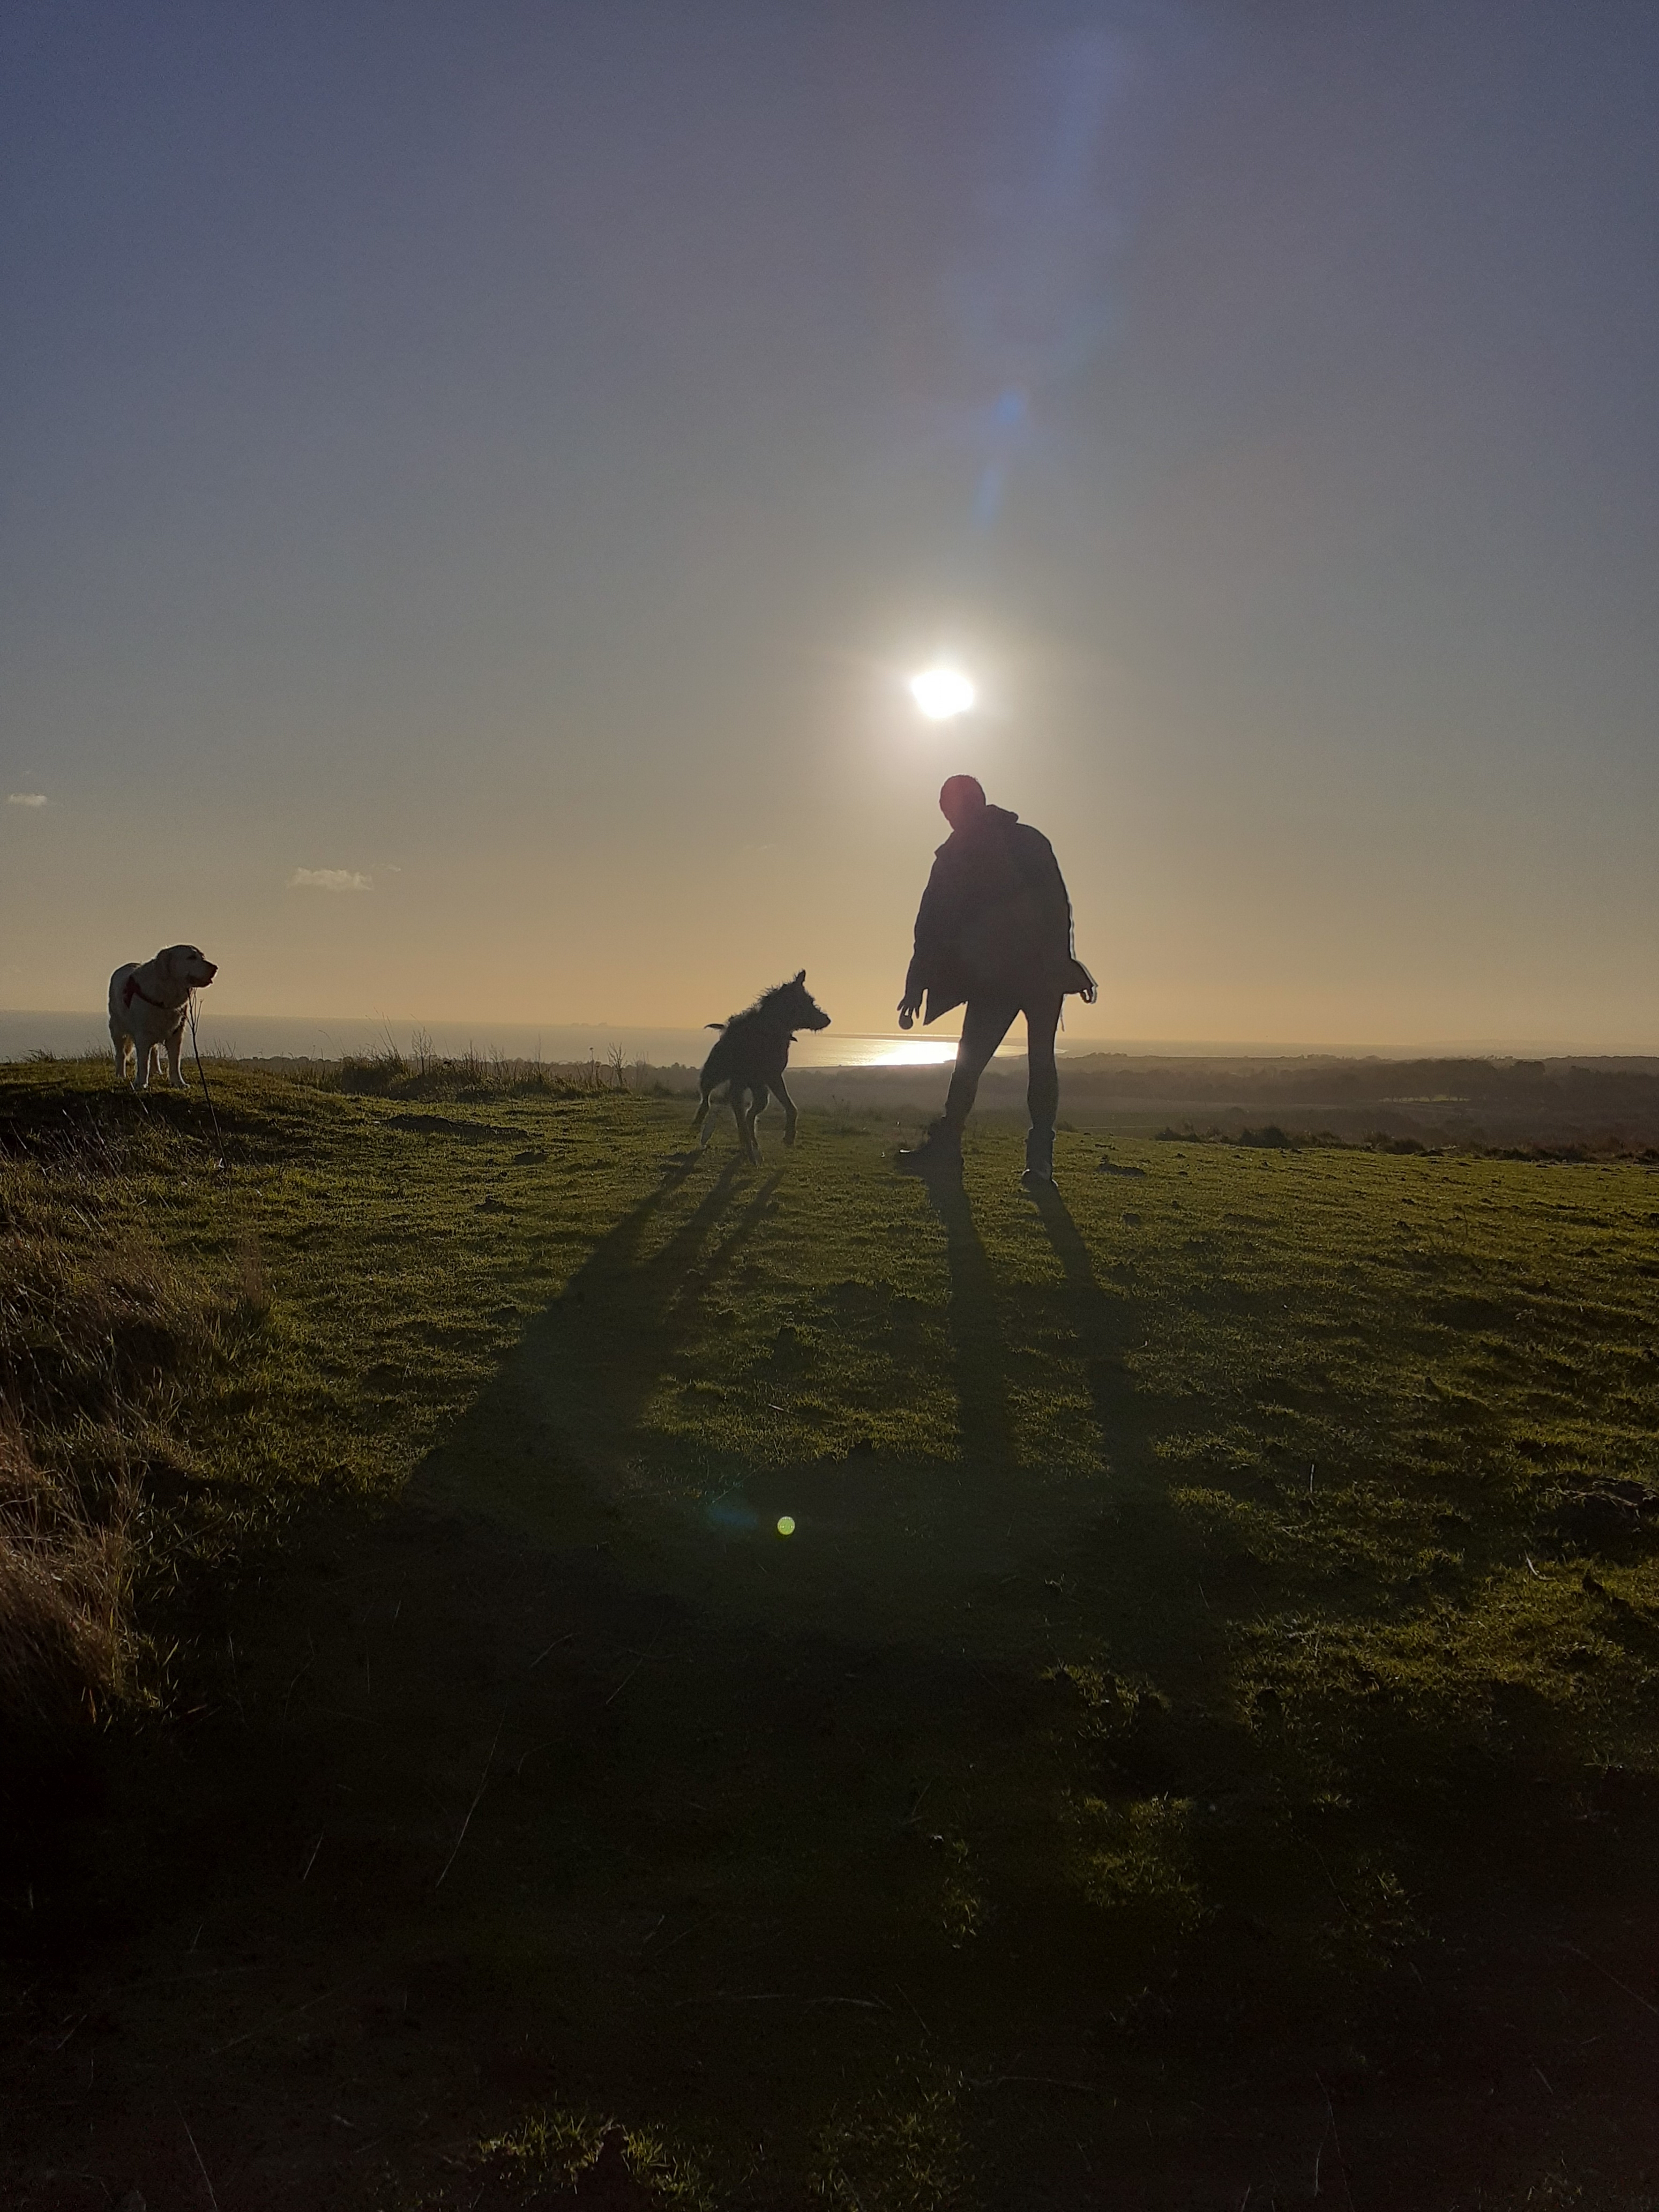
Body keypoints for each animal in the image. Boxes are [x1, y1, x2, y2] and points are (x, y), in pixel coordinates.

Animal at [109, 946, 218, 1093]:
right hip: (118, 1029)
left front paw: (179, 1083)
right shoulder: (143, 1035)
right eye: (191, 957)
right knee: (121, 1053)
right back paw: (121, 1075)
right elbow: (143, 1063)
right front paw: (141, 1084)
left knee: (154, 1050)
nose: (215, 968)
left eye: (202, 957)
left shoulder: (176, 1034)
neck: (166, 992)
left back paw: (157, 1071)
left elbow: (175, 1062)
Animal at [694, 973, 832, 1168]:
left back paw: (752, 1145)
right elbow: (739, 1117)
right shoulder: (740, 1084)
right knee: (707, 1099)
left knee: (750, 1114)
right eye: (807, 1002)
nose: (827, 1020)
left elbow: (791, 1108)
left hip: (760, 1092)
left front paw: (789, 1136)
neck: (770, 1031)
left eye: (811, 1001)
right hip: (714, 1074)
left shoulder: (773, 1077)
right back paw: (702, 1122)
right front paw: (750, 1150)